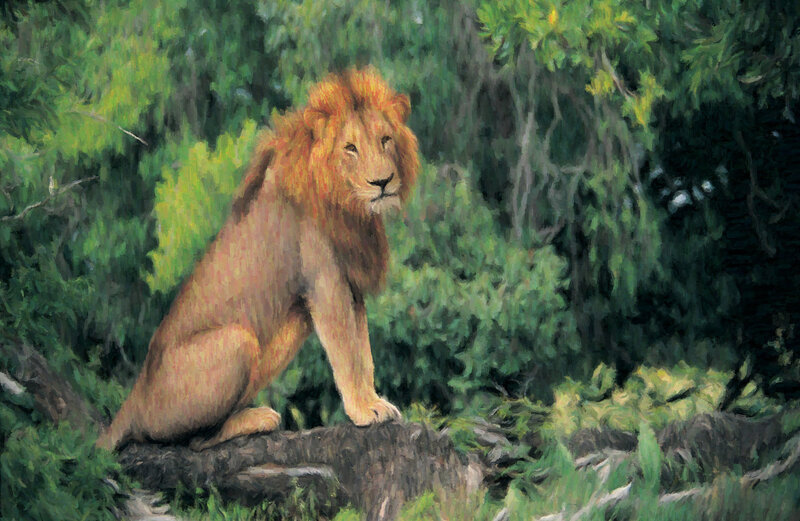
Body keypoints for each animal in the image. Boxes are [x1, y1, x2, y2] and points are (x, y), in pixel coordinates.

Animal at [96, 68, 419, 451]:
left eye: (386, 140)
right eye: (350, 148)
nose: (382, 182)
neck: (348, 207)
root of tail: (134, 397)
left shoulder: (351, 285)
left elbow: (364, 353)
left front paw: (375, 401)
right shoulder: (325, 282)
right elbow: (347, 354)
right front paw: (363, 411)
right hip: (236, 342)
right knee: (192, 440)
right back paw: (259, 419)